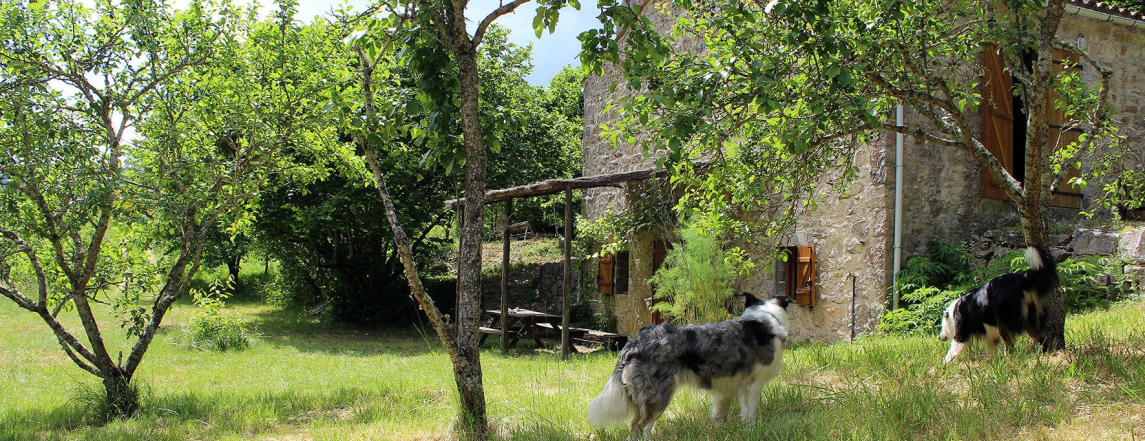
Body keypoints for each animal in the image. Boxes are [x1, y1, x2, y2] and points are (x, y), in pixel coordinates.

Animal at [586, 293, 792, 437]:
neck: (767, 317)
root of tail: (635, 341)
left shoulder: (726, 389)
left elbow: (720, 414)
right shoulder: (753, 384)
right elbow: (750, 414)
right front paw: (751, 431)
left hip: (640, 398)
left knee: (633, 426)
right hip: (660, 394)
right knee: (642, 426)